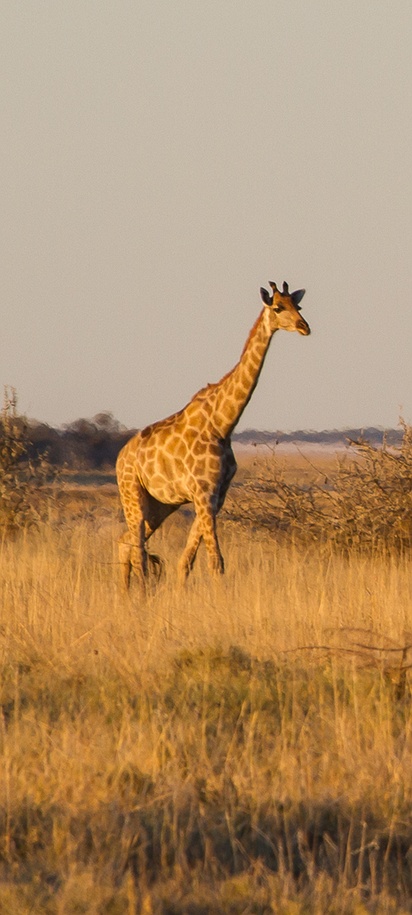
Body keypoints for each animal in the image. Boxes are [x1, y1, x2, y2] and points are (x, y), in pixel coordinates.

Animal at [116, 280, 310, 590]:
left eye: (298, 305)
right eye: (279, 308)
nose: (305, 326)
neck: (222, 423)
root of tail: (120, 457)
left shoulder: (215, 496)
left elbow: (187, 561)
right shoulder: (203, 494)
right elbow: (215, 562)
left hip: (160, 504)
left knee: (126, 543)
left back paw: (125, 595)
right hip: (132, 494)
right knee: (137, 550)